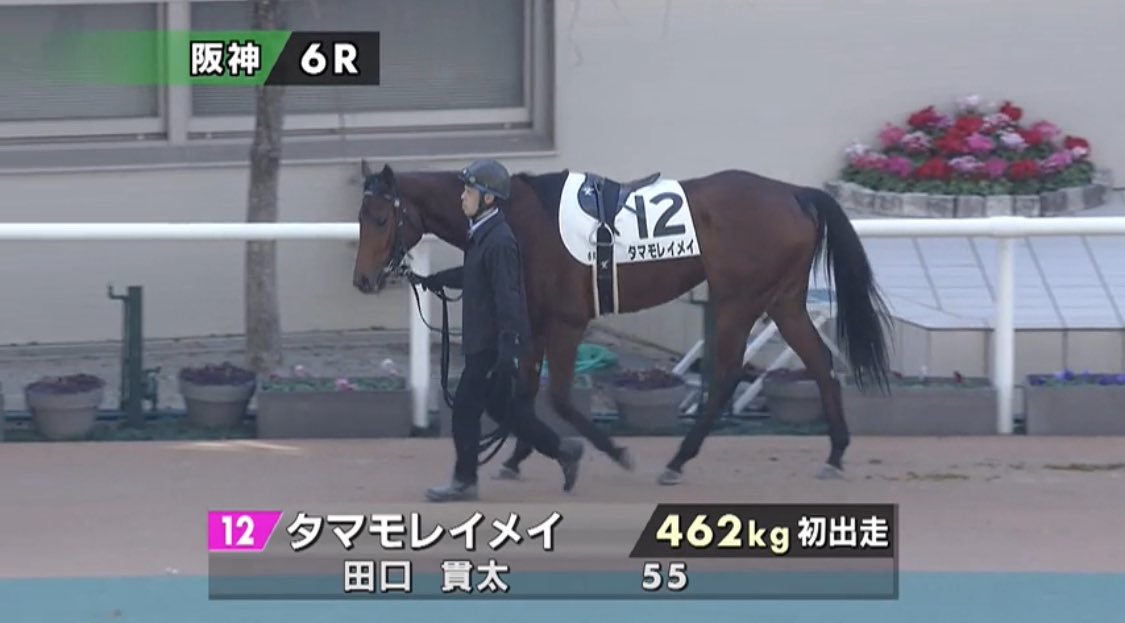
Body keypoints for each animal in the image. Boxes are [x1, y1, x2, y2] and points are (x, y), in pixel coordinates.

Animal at [351, 160, 892, 484]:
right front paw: (517, 456)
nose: (362, 280)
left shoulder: (567, 321)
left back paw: (677, 460)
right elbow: (523, 393)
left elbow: (558, 397)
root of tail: (795, 194)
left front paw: (609, 452)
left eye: (380, 218)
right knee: (819, 362)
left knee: (726, 377)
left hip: (738, 301)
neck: (520, 218)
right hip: (782, 300)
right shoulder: (534, 318)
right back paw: (835, 454)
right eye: (360, 217)